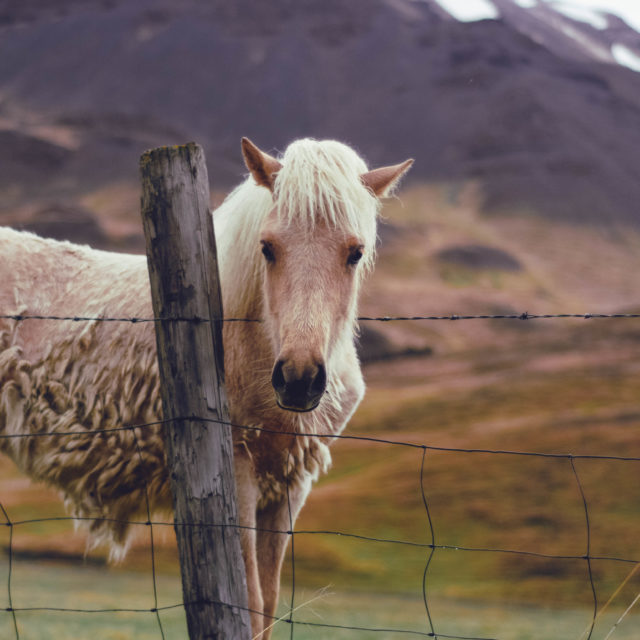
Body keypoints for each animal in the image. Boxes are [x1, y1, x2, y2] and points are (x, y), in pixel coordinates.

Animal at [0, 138, 410, 636]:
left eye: (355, 252)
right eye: (267, 248)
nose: (298, 379)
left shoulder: (289, 486)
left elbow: (269, 602)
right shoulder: (240, 471)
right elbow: (250, 601)